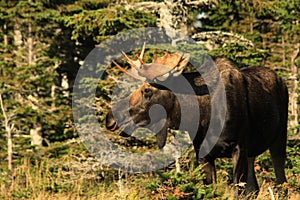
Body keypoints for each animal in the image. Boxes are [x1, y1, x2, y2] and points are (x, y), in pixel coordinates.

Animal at [105, 44, 288, 197]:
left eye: (147, 90)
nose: (110, 118)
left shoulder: (239, 148)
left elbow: (238, 193)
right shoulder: (203, 155)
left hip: (279, 140)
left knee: (281, 183)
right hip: (252, 153)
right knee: (254, 188)